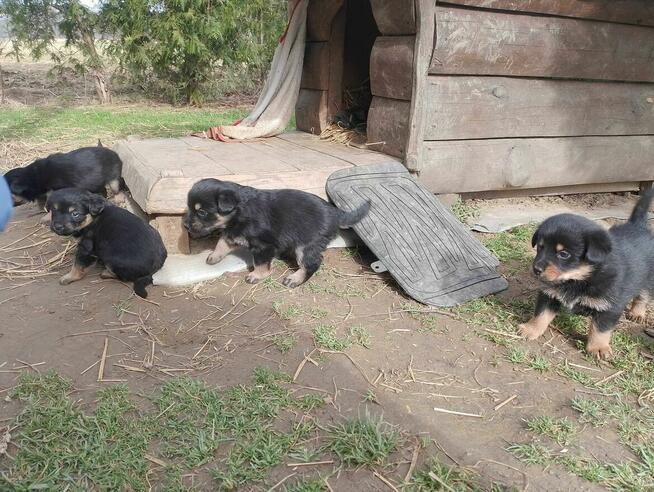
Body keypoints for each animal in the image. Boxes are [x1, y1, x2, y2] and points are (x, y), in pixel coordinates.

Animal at [182, 179, 372, 288]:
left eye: (202, 212)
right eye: (190, 208)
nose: (185, 225)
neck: (238, 212)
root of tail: (335, 213)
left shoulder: (263, 246)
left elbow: (260, 263)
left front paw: (257, 276)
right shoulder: (233, 232)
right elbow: (221, 243)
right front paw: (214, 256)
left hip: (306, 245)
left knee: (312, 263)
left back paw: (295, 279)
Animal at [524, 190, 654, 360]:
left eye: (563, 254)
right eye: (540, 247)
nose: (536, 269)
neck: (577, 280)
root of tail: (638, 226)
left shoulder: (611, 306)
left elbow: (601, 329)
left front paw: (598, 348)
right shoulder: (549, 294)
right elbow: (541, 314)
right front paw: (530, 329)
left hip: (648, 278)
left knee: (643, 295)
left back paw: (637, 313)